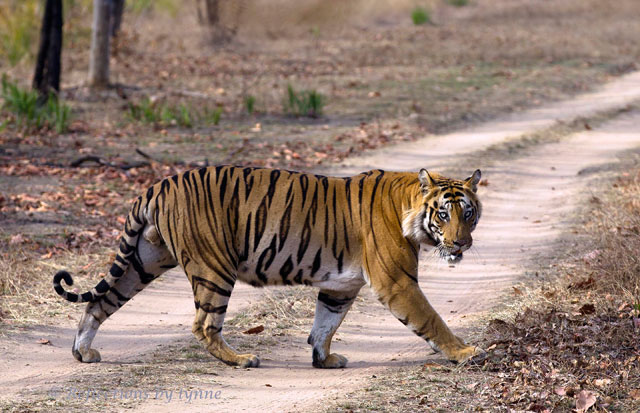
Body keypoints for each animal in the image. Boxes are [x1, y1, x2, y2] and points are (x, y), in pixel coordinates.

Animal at [53, 165, 485, 368]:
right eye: (444, 214)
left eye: (469, 214)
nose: (462, 243)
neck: (409, 205)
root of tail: (158, 185)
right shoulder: (397, 282)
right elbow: (431, 320)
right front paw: (464, 352)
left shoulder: (341, 286)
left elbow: (325, 323)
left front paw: (323, 360)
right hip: (213, 268)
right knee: (204, 324)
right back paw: (240, 359)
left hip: (143, 261)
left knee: (99, 303)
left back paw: (83, 353)